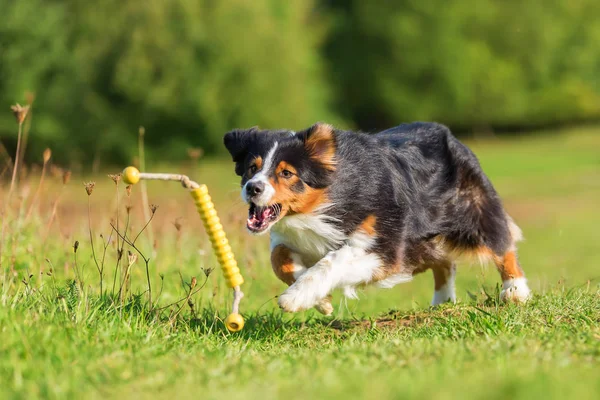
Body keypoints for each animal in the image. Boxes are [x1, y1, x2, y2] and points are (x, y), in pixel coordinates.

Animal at [224, 122, 528, 316]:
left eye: (287, 173)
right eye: (251, 168)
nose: (252, 188)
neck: (324, 202)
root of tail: (447, 133)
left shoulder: (385, 248)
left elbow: (333, 261)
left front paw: (296, 297)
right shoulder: (289, 236)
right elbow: (279, 259)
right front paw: (319, 299)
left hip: (474, 209)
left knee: (501, 244)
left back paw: (516, 291)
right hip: (421, 242)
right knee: (444, 262)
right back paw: (442, 302)